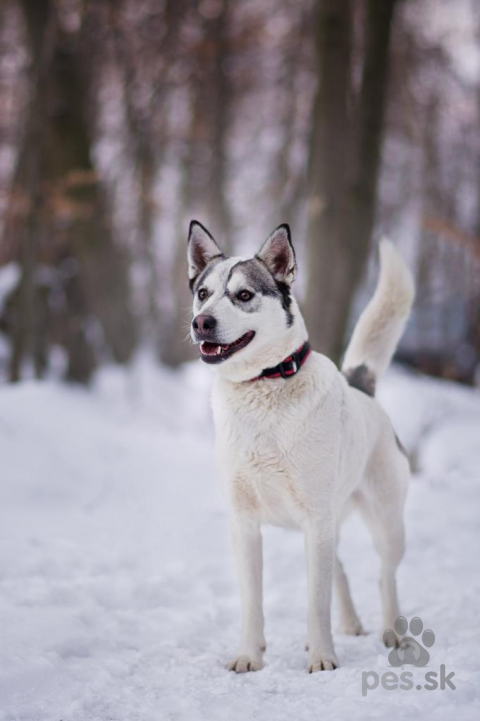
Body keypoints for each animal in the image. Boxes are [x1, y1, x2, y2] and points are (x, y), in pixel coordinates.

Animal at [188, 221, 412, 676]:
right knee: (340, 568)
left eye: (244, 295)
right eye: (203, 293)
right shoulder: (245, 525)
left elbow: (316, 601)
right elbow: (252, 601)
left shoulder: (315, 521)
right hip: (329, 523)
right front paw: (249, 655)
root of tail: (360, 386)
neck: (264, 387)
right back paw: (350, 622)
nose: (201, 323)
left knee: (385, 575)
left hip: (384, 524)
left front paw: (322, 658)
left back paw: (391, 632)